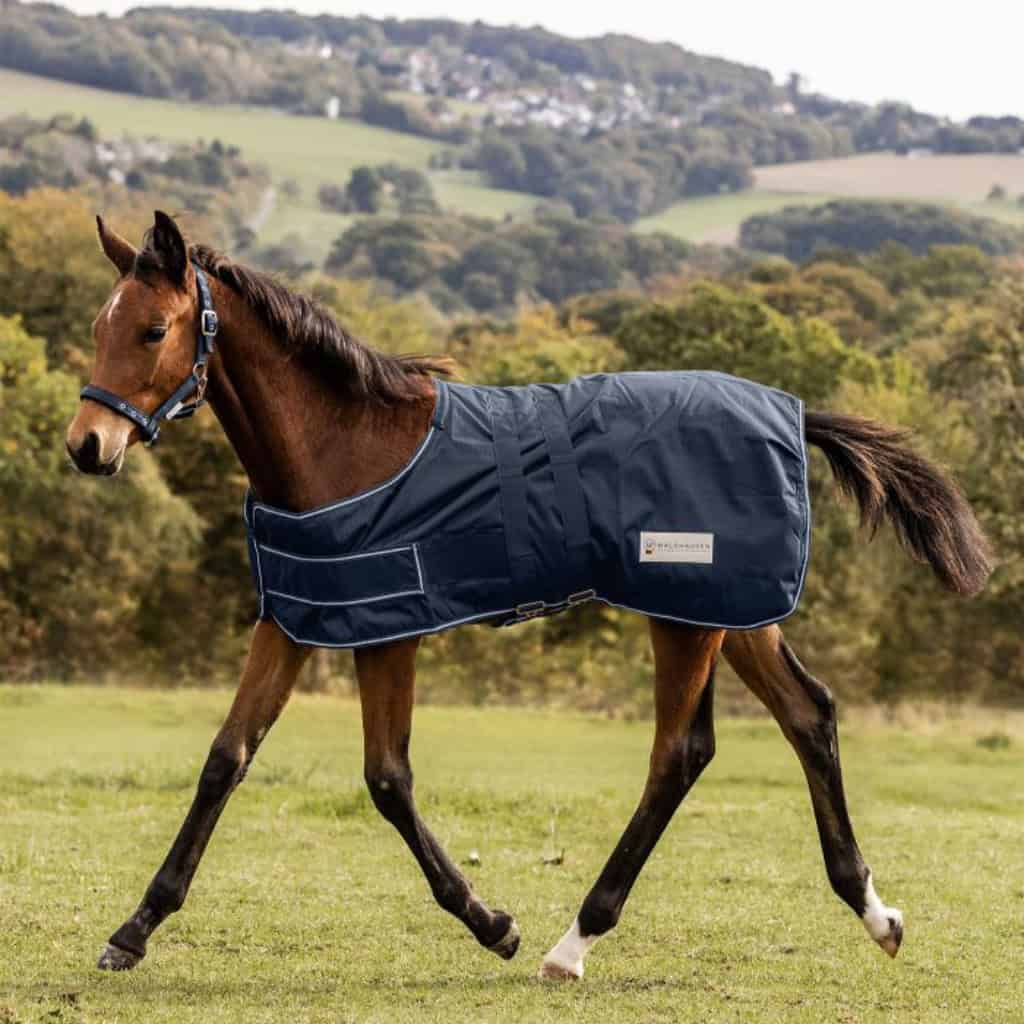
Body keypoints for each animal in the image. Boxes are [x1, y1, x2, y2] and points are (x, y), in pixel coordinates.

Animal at [64, 211, 992, 981]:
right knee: (808, 715)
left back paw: (572, 942)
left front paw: (493, 924)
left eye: (153, 328)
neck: (339, 448)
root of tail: (792, 416)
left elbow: (387, 779)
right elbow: (227, 758)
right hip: (730, 613)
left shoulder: (387, 629)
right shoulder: (296, 620)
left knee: (678, 754)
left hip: (686, 621)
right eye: (99, 327)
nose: (87, 445)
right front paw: (133, 930)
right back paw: (875, 913)